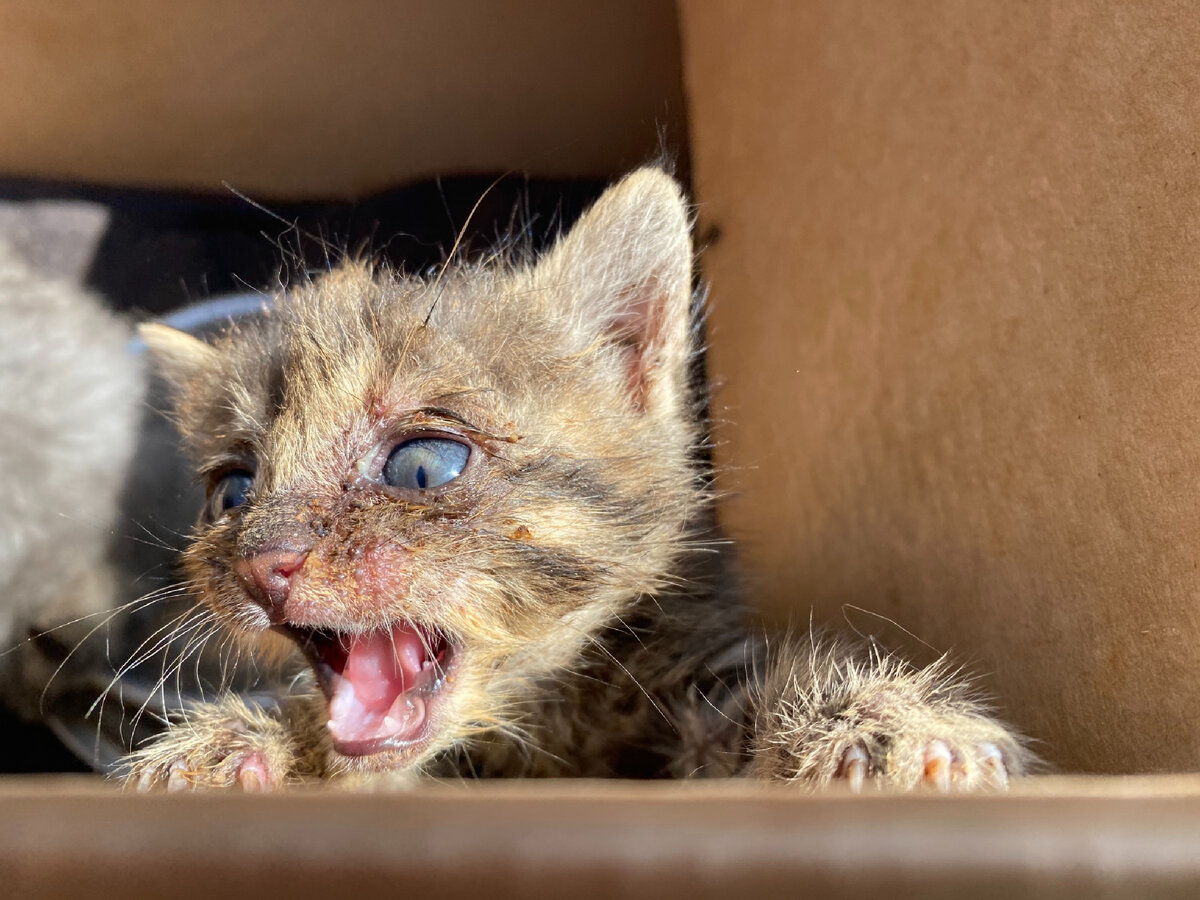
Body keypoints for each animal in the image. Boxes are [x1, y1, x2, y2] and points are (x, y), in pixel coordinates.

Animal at [124, 168, 1032, 787]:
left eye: (422, 465)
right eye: (233, 491)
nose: (259, 562)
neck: (548, 718)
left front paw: (890, 727)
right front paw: (242, 745)